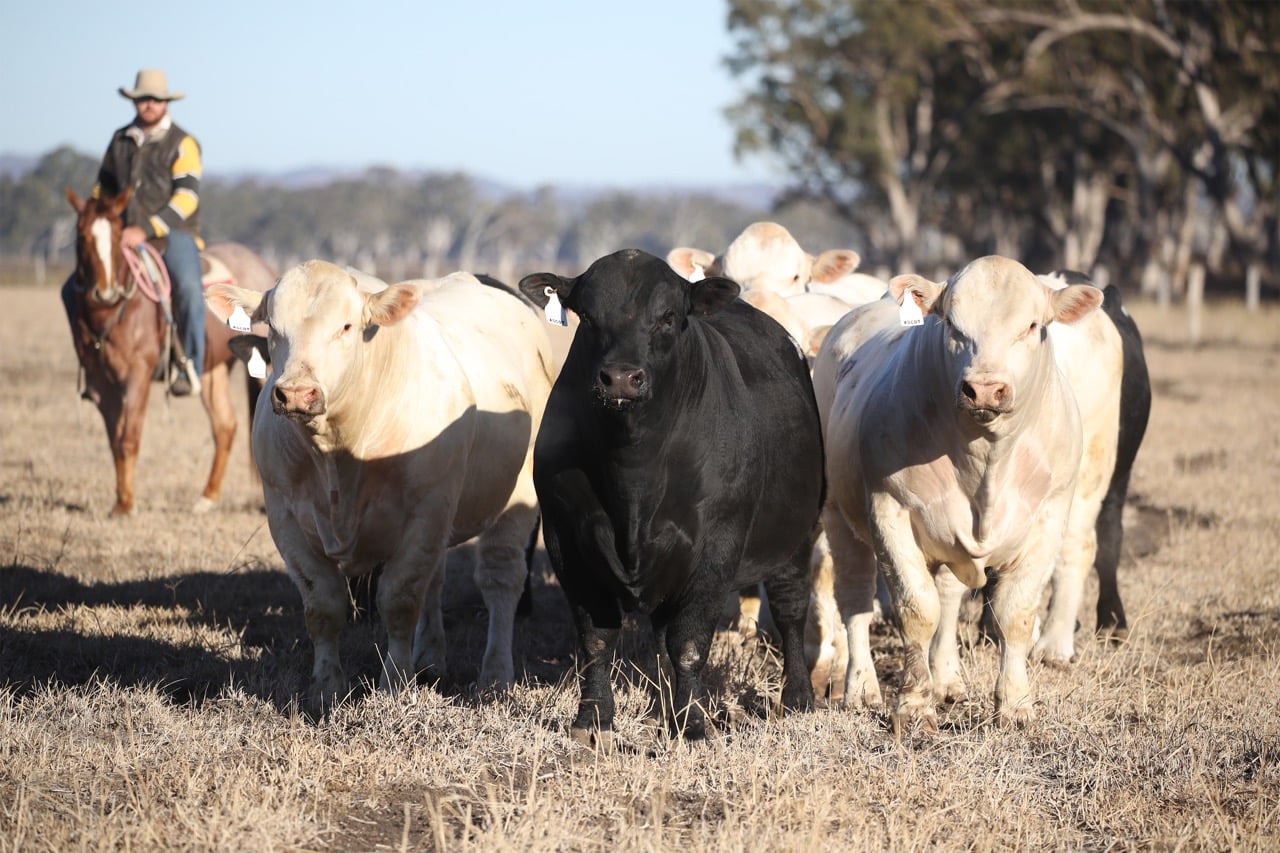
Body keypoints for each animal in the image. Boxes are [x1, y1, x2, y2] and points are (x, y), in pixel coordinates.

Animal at [204, 260, 553, 712]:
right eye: (274, 329)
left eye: (347, 326)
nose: (296, 393)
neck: (339, 452)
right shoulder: (284, 517)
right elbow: (323, 605)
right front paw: (326, 687)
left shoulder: (426, 511)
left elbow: (400, 601)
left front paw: (395, 684)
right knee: (435, 581)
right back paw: (430, 658)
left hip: (516, 498)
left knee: (500, 579)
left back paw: (494, 676)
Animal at [517, 249, 825, 746]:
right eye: (588, 315)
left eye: (667, 317)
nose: (621, 378)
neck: (633, 473)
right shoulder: (568, 540)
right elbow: (597, 640)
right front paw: (593, 721)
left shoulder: (716, 548)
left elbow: (690, 644)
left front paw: (693, 725)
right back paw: (660, 707)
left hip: (797, 535)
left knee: (790, 610)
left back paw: (797, 698)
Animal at [812, 255, 1105, 728]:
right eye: (951, 323)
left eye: (1032, 325)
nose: (984, 388)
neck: (985, 462)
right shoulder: (889, 510)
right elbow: (916, 609)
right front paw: (914, 704)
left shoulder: (1050, 516)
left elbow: (1015, 614)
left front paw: (1015, 703)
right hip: (839, 514)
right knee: (854, 600)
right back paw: (861, 687)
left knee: (948, 598)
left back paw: (946, 678)